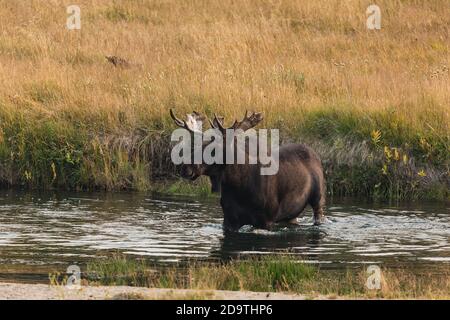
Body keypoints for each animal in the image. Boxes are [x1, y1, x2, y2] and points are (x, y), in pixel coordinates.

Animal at [171, 109, 326, 231]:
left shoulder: (266, 219)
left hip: (318, 199)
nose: (185, 168)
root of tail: (316, 154)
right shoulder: (229, 220)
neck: (239, 187)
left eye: (214, 149)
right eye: (195, 146)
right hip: (291, 212)